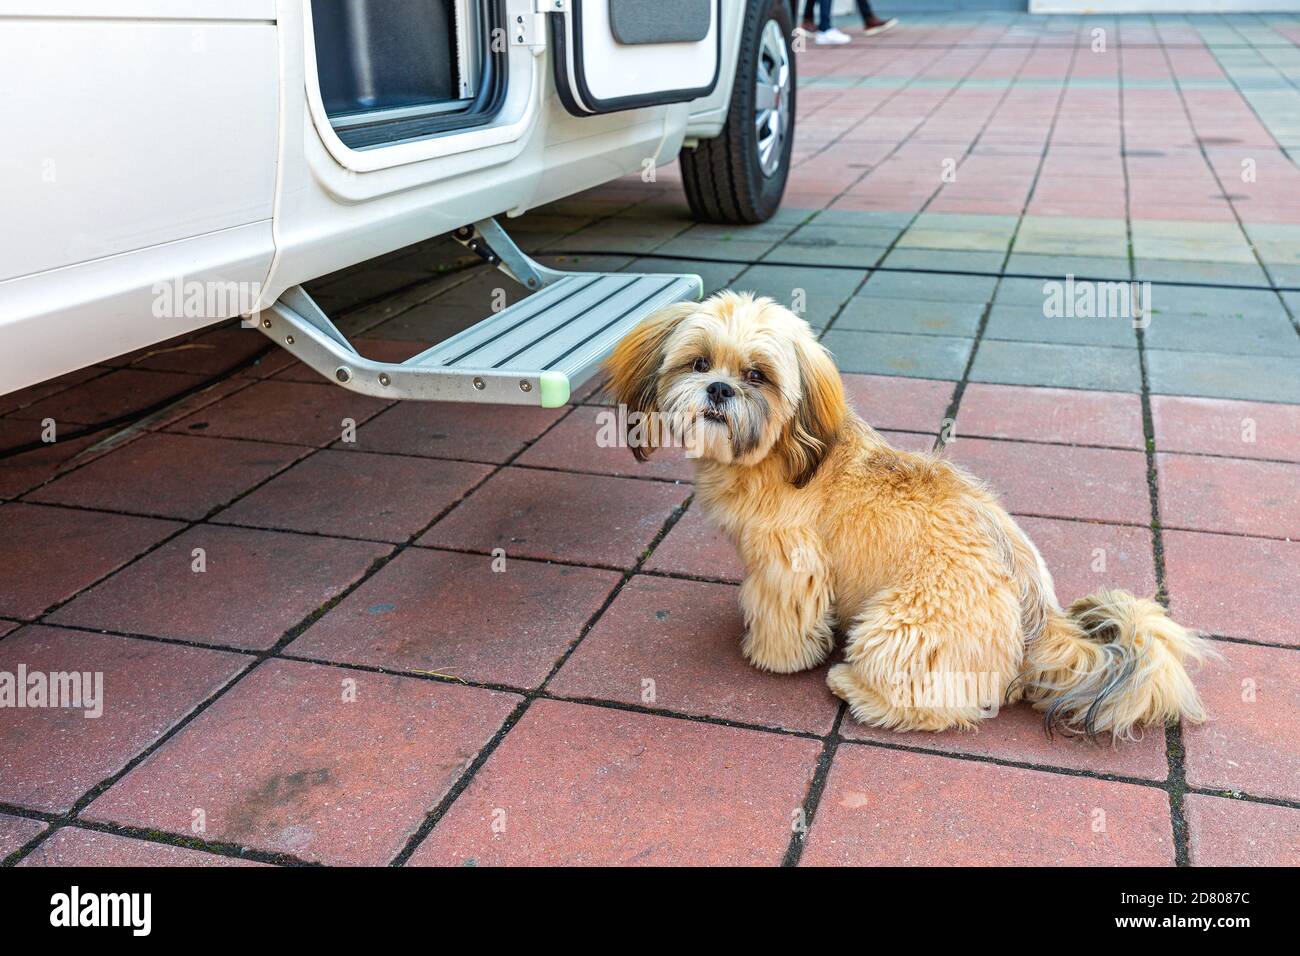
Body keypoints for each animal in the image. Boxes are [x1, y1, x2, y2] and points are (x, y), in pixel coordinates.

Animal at [603, 291, 1211, 738]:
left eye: (758, 375)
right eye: (699, 363)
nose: (718, 389)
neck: (781, 453)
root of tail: (1042, 620)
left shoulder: (789, 565)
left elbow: (782, 614)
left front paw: (774, 655)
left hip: (897, 627)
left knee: (939, 706)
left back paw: (854, 687)